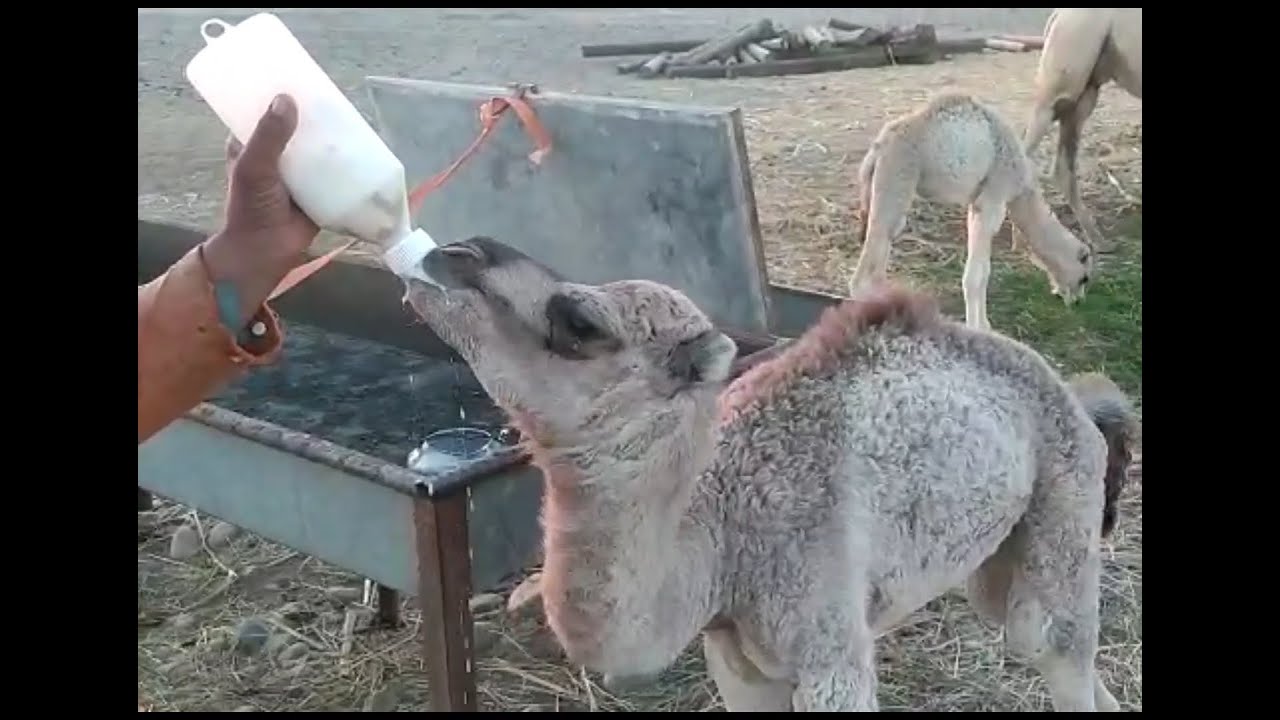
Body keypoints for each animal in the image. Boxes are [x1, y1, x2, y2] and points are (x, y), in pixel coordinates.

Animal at [404, 236, 1139, 711]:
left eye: (580, 323)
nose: (456, 252)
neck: (717, 537)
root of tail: (1075, 396)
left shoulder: (830, 654)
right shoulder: (736, 659)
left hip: (1061, 512)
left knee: (1051, 645)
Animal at [849, 93, 1094, 332]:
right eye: (1084, 278)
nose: (1077, 302)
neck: (1022, 188)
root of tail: (876, 150)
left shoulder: (976, 204)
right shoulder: (993, 198)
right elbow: (979, 275)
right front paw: (980, 328)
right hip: (896, 177)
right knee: (863, 276)